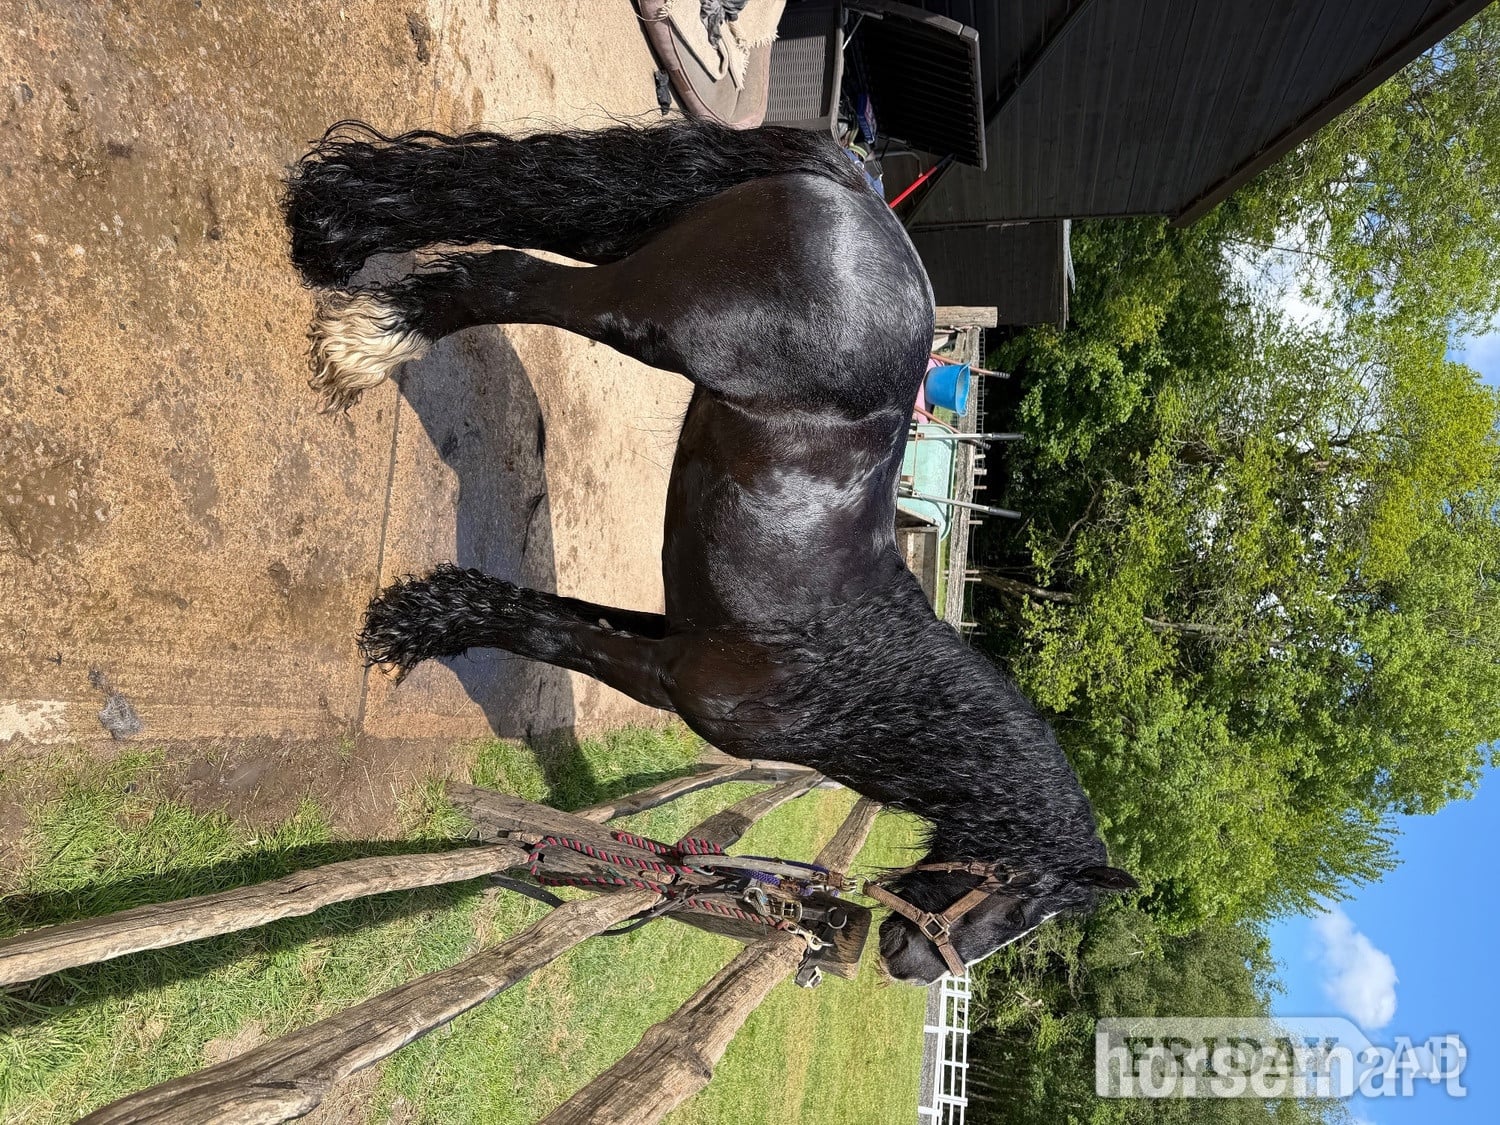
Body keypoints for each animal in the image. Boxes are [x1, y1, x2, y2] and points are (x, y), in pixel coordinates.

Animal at [282, 119, 1136, 984]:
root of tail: (859, 193)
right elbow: (548, 632)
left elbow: (537, 607)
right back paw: (369, 344)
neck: (858, 678)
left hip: (624, 237)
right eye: (1022, 901)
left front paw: (422, 616)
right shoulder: (662, 673)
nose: (913, 966)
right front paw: (409, 629)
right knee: (508, 275)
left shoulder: (665, 628)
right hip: (638, 314)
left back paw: (337, 234)